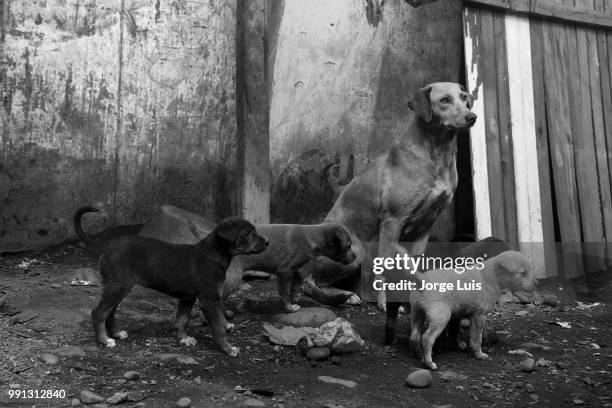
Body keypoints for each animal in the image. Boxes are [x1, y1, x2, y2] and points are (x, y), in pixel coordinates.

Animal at [72, 206, 268, 356]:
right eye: (248, 233)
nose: (267, 242)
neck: (215, 252)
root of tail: (108, 245)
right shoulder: (209, 300)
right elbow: (218, 327)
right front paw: (228, 349)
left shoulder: (188, 297)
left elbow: (182, 320)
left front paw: (184, 339)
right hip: (118, 286)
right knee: (98, 313)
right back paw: (104, 340)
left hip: (118, 287)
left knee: (110, 311)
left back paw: (116, 334)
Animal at [224, 223, 358, 312]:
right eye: (348, 245)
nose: (356, 256)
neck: (310, 238)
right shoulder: (286, 271)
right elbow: (285, 292)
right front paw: (290, 308)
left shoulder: (289, 271)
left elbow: (294, 285)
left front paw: (293, 298)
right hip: (233, 277)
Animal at [316, 83, 478, 310]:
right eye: (444, 100)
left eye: (464, 98)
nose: (472, 117)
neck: (438, 154)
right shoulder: (392, 220)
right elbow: (385, 265)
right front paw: (385, 302)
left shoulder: (426, 225)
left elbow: (416, 265)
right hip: (357, 249)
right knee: (312, 283)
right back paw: (345, 296)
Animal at [408, 250, 536, 372]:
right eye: (523, 273)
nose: (537, 283)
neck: (492, 276)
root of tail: (423, 280)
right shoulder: (479, 316)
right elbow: (477, 339)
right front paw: (479, 355)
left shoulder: (457, 315)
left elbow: (455, 332)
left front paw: (460, 345)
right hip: (441, 317)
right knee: (427, 338)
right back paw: (429, 363)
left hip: (417, 312)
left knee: (414, 336)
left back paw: (419, 355)